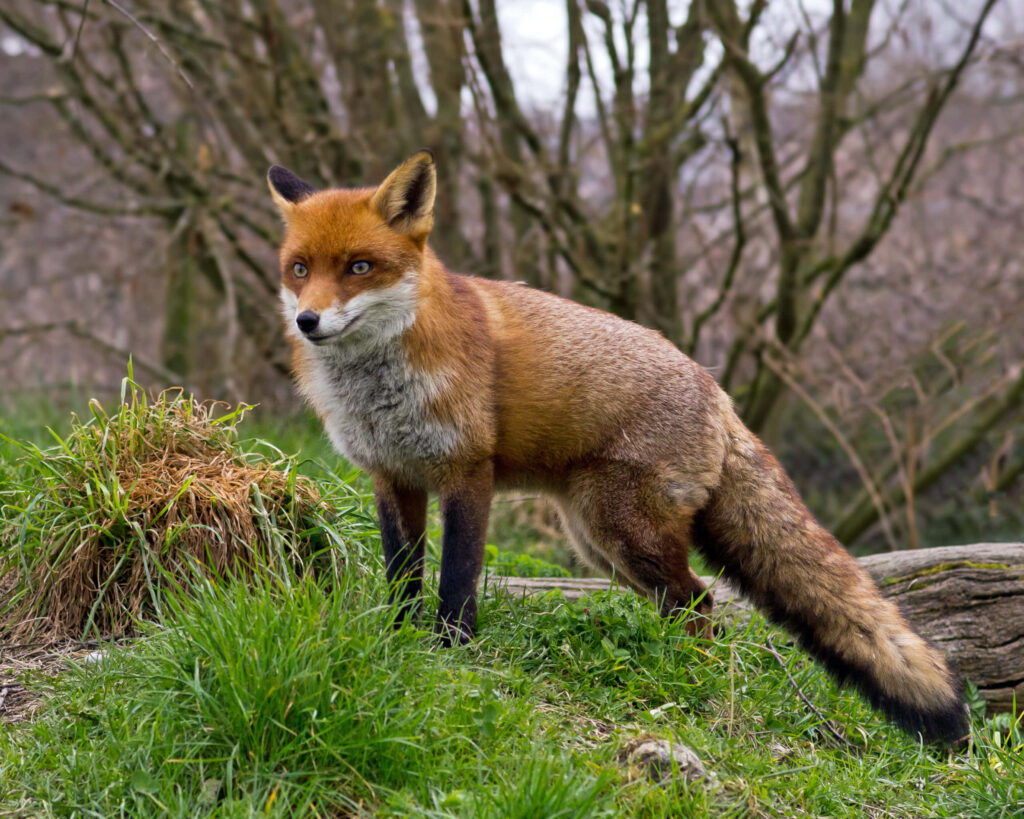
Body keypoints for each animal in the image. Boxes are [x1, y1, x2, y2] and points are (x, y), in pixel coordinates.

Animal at [267, 150, 968, 744]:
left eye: (359, 267)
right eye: (300, 269)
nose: (307, 320)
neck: (380, 389)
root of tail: (718, 393)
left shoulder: (468, 473)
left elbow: (457, 581)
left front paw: (454, 653)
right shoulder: (393, 476)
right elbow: (403, 577)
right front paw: (397, 640)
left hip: (624, 531)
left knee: (702, 602)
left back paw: (684, 679)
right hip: (601, 545)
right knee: (687, 605)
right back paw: (664, 668)